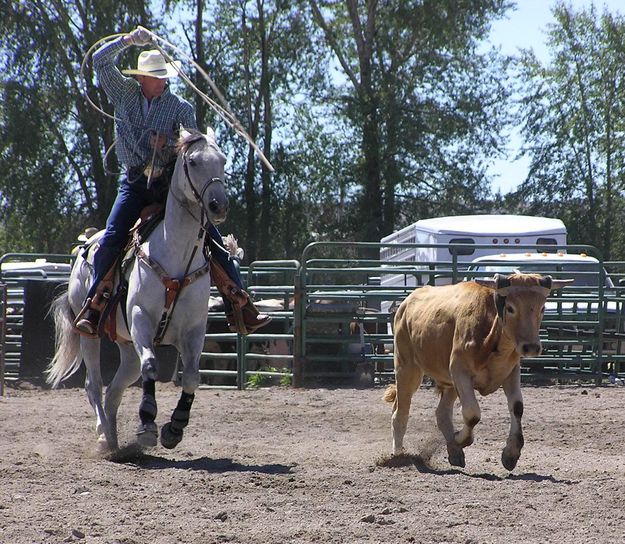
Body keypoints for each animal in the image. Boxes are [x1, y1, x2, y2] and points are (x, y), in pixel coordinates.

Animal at [47, 127, 227, 450]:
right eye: (193, 161)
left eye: (222, 160)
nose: (218, 205)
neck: (176, 254)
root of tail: (85, 247)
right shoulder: (141, 318)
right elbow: (152, 367)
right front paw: (147, 425)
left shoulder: (194, 330)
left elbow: (192, 377)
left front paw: (174, 428)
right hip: (89, 333)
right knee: (94, 384)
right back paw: (104, 435)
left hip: (127, 346)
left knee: (115, 389)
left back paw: (114, 440)